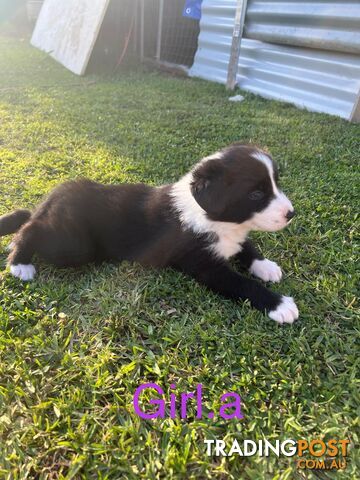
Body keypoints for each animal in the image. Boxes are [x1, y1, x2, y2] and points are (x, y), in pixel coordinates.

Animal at [0, 142, 298, 322]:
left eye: (276, 184)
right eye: (256, 193)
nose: (291, 213)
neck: (213, 218)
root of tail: (56, 194)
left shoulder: (232, 238)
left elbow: (246, 246)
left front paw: (266, 266)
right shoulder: (203, 264)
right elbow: (240, 282)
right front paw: (280, 305)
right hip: (73, 245)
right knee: (31, 228)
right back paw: (19, 262)